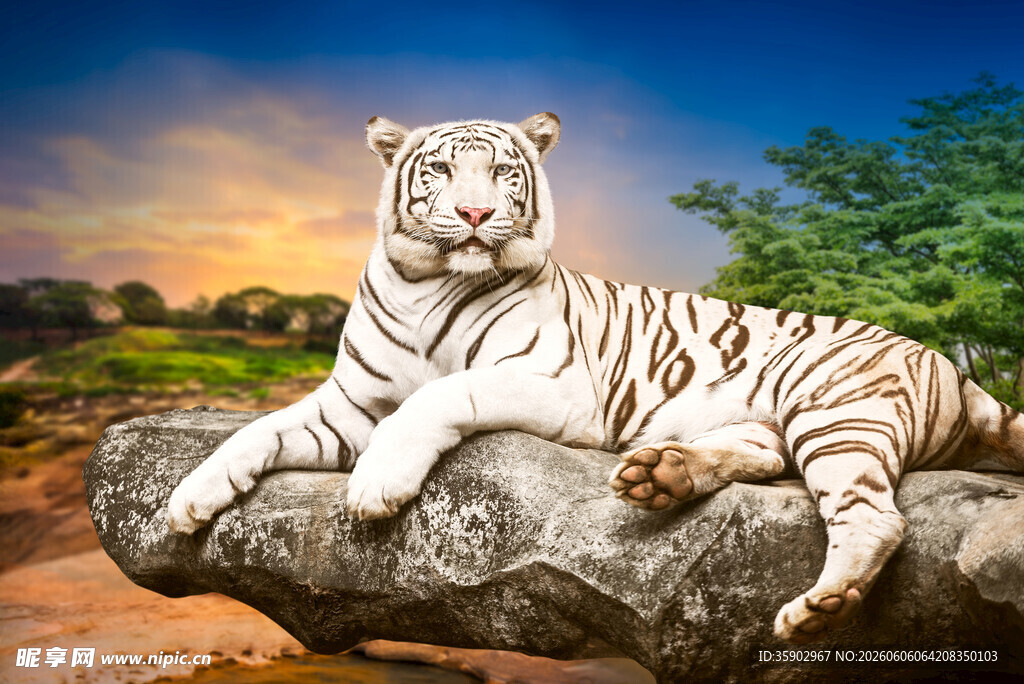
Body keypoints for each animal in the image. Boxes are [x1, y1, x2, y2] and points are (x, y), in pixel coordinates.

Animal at [166, 112, 1024, 644]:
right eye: (440, 169)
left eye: (503, 173)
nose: (474, 216)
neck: (423, 281)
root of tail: (947, 362)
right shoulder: (348, 404)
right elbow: (256, 432)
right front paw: (185, 503)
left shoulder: (548, 381)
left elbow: (440, 393)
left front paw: (377, 485)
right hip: (777, 421)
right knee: (764, 454)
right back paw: (661, 475)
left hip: (833, 408)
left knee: (874, 518)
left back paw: (818, 607)